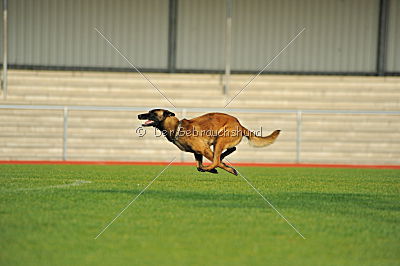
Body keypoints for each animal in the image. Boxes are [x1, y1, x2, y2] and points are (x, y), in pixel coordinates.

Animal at [138, 109, 282, 176]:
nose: (139, 115)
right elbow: (198, 165)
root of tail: (240, 124)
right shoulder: (197, 152)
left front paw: (224, 169)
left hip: (219, 141)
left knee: (217, 159)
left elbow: (213, 163)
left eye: (152, 113)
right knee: (229, 150)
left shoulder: (204, 149)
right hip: (219, 142)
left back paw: (214, 166)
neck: (177, 127)